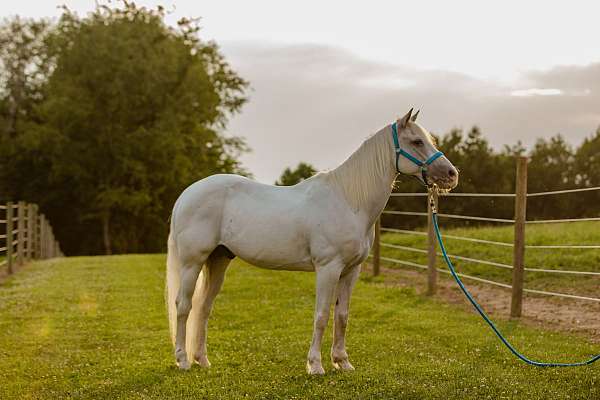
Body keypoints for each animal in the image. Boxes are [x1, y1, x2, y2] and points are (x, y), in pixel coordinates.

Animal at [166, 108, 458, 376]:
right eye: (417, 142)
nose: (452, 174)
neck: (348, 200)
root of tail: (187, 194)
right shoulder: (328, 269)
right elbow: (321, 316)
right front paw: (316, 365)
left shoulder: (351, 271)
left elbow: (342, 316)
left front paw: (342, 362)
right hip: (193, 262)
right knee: (183, 305)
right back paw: (182, 360)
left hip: (218, 260)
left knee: (203, 308)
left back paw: (202, 360)